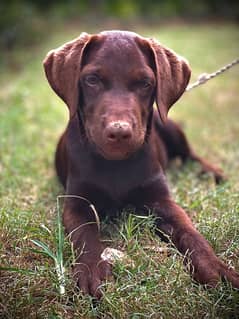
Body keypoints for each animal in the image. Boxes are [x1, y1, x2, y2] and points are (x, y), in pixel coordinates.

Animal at [43, 31, 239, 298]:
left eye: (145, 83)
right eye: (92, 80)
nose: (119, 132)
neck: (115, 164)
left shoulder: (161, 201)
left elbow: (190, 232)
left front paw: (215, 267)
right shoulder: (77, 203)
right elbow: (85, 235)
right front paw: (92, 270)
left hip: (170, 127)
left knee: (190, 155)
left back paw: (213, 173)